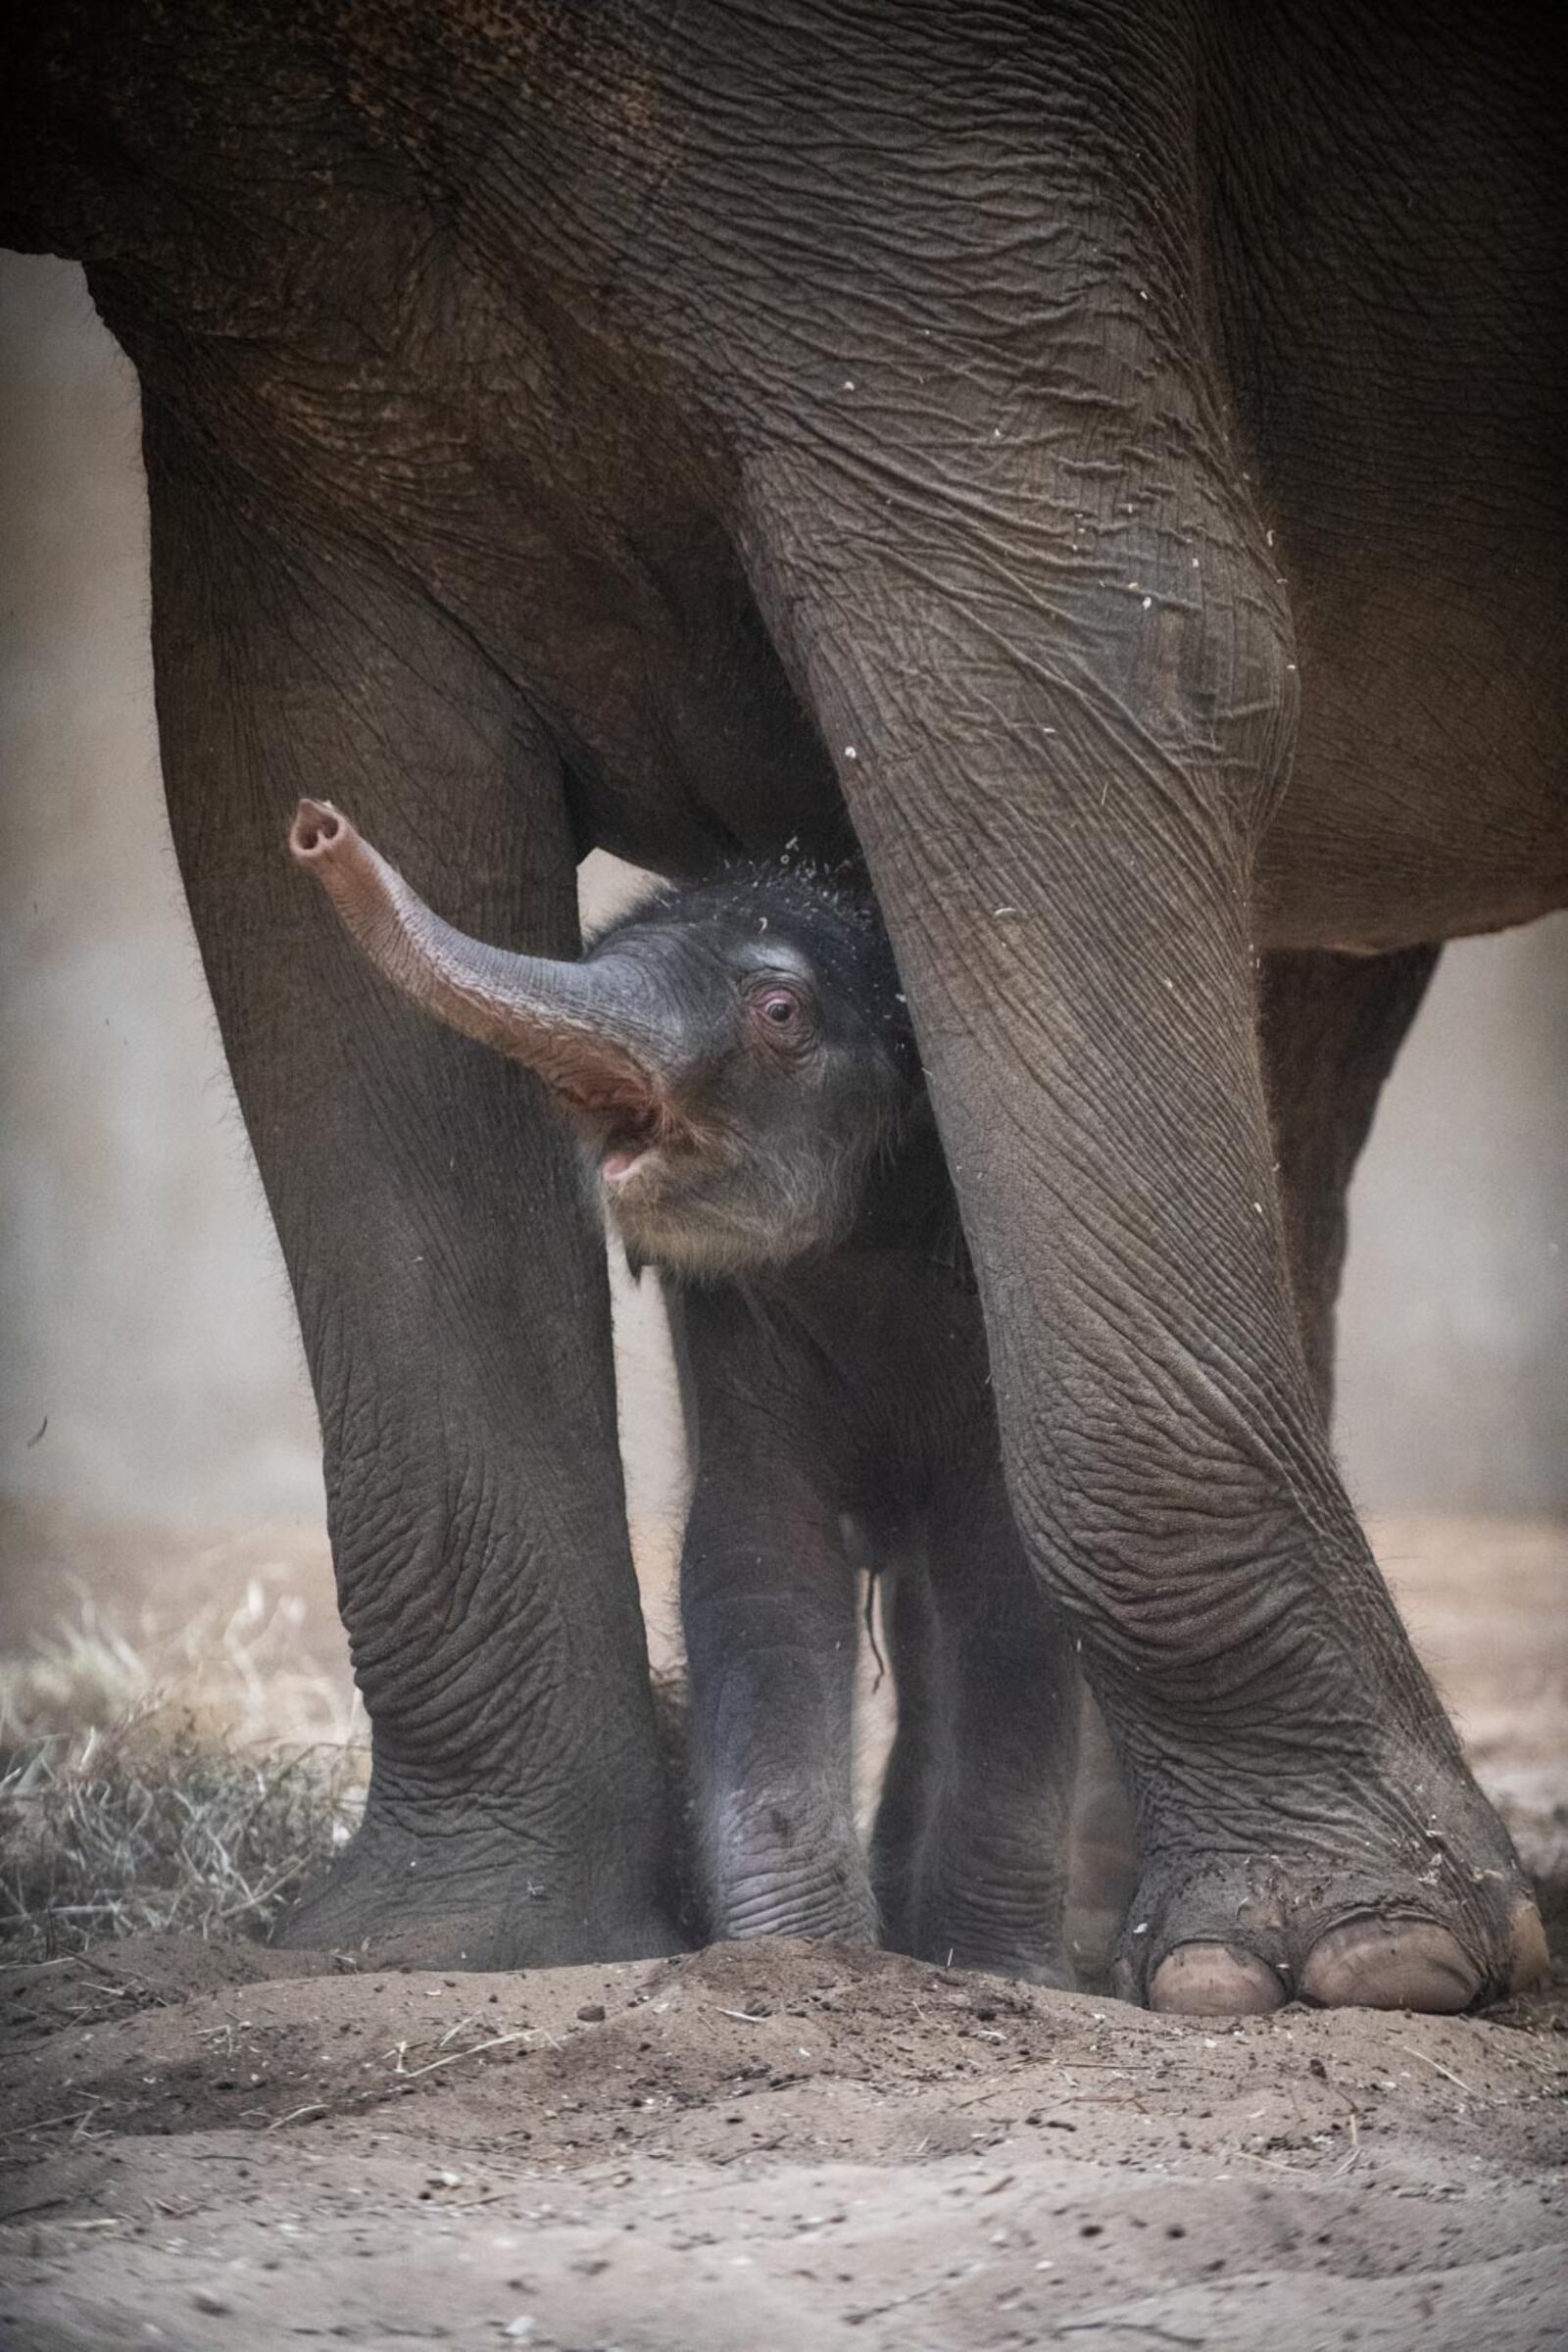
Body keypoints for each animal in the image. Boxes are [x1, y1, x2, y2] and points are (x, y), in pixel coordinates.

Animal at [291, 800, 1081, 1976]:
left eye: (782, 1010)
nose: (316, 827)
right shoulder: (739, 1324)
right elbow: (755, 1558)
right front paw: (799, 1959)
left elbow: (1010, 1575)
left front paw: (989, 1966)